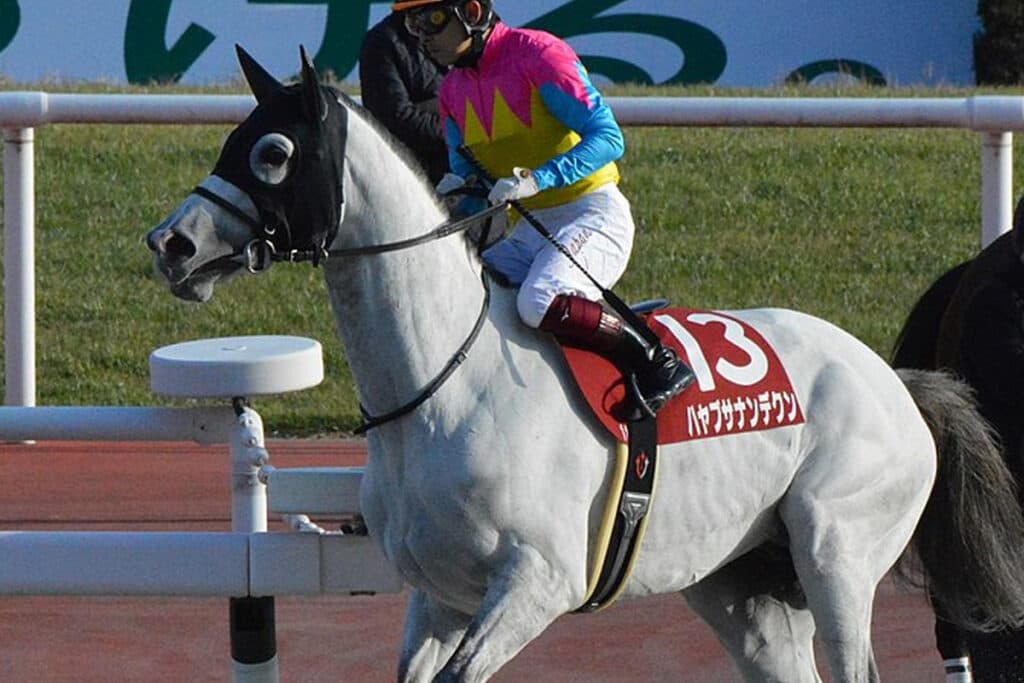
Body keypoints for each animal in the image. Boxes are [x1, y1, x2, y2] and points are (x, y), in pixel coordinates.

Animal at [145, 47, 1024, 682]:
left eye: (272, 151)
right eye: (230, 139)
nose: (171, 244)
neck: (443, 385)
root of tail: (898, 383)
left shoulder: (539, 580)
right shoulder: (438, 596)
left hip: (837, 549)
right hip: (744, 588)